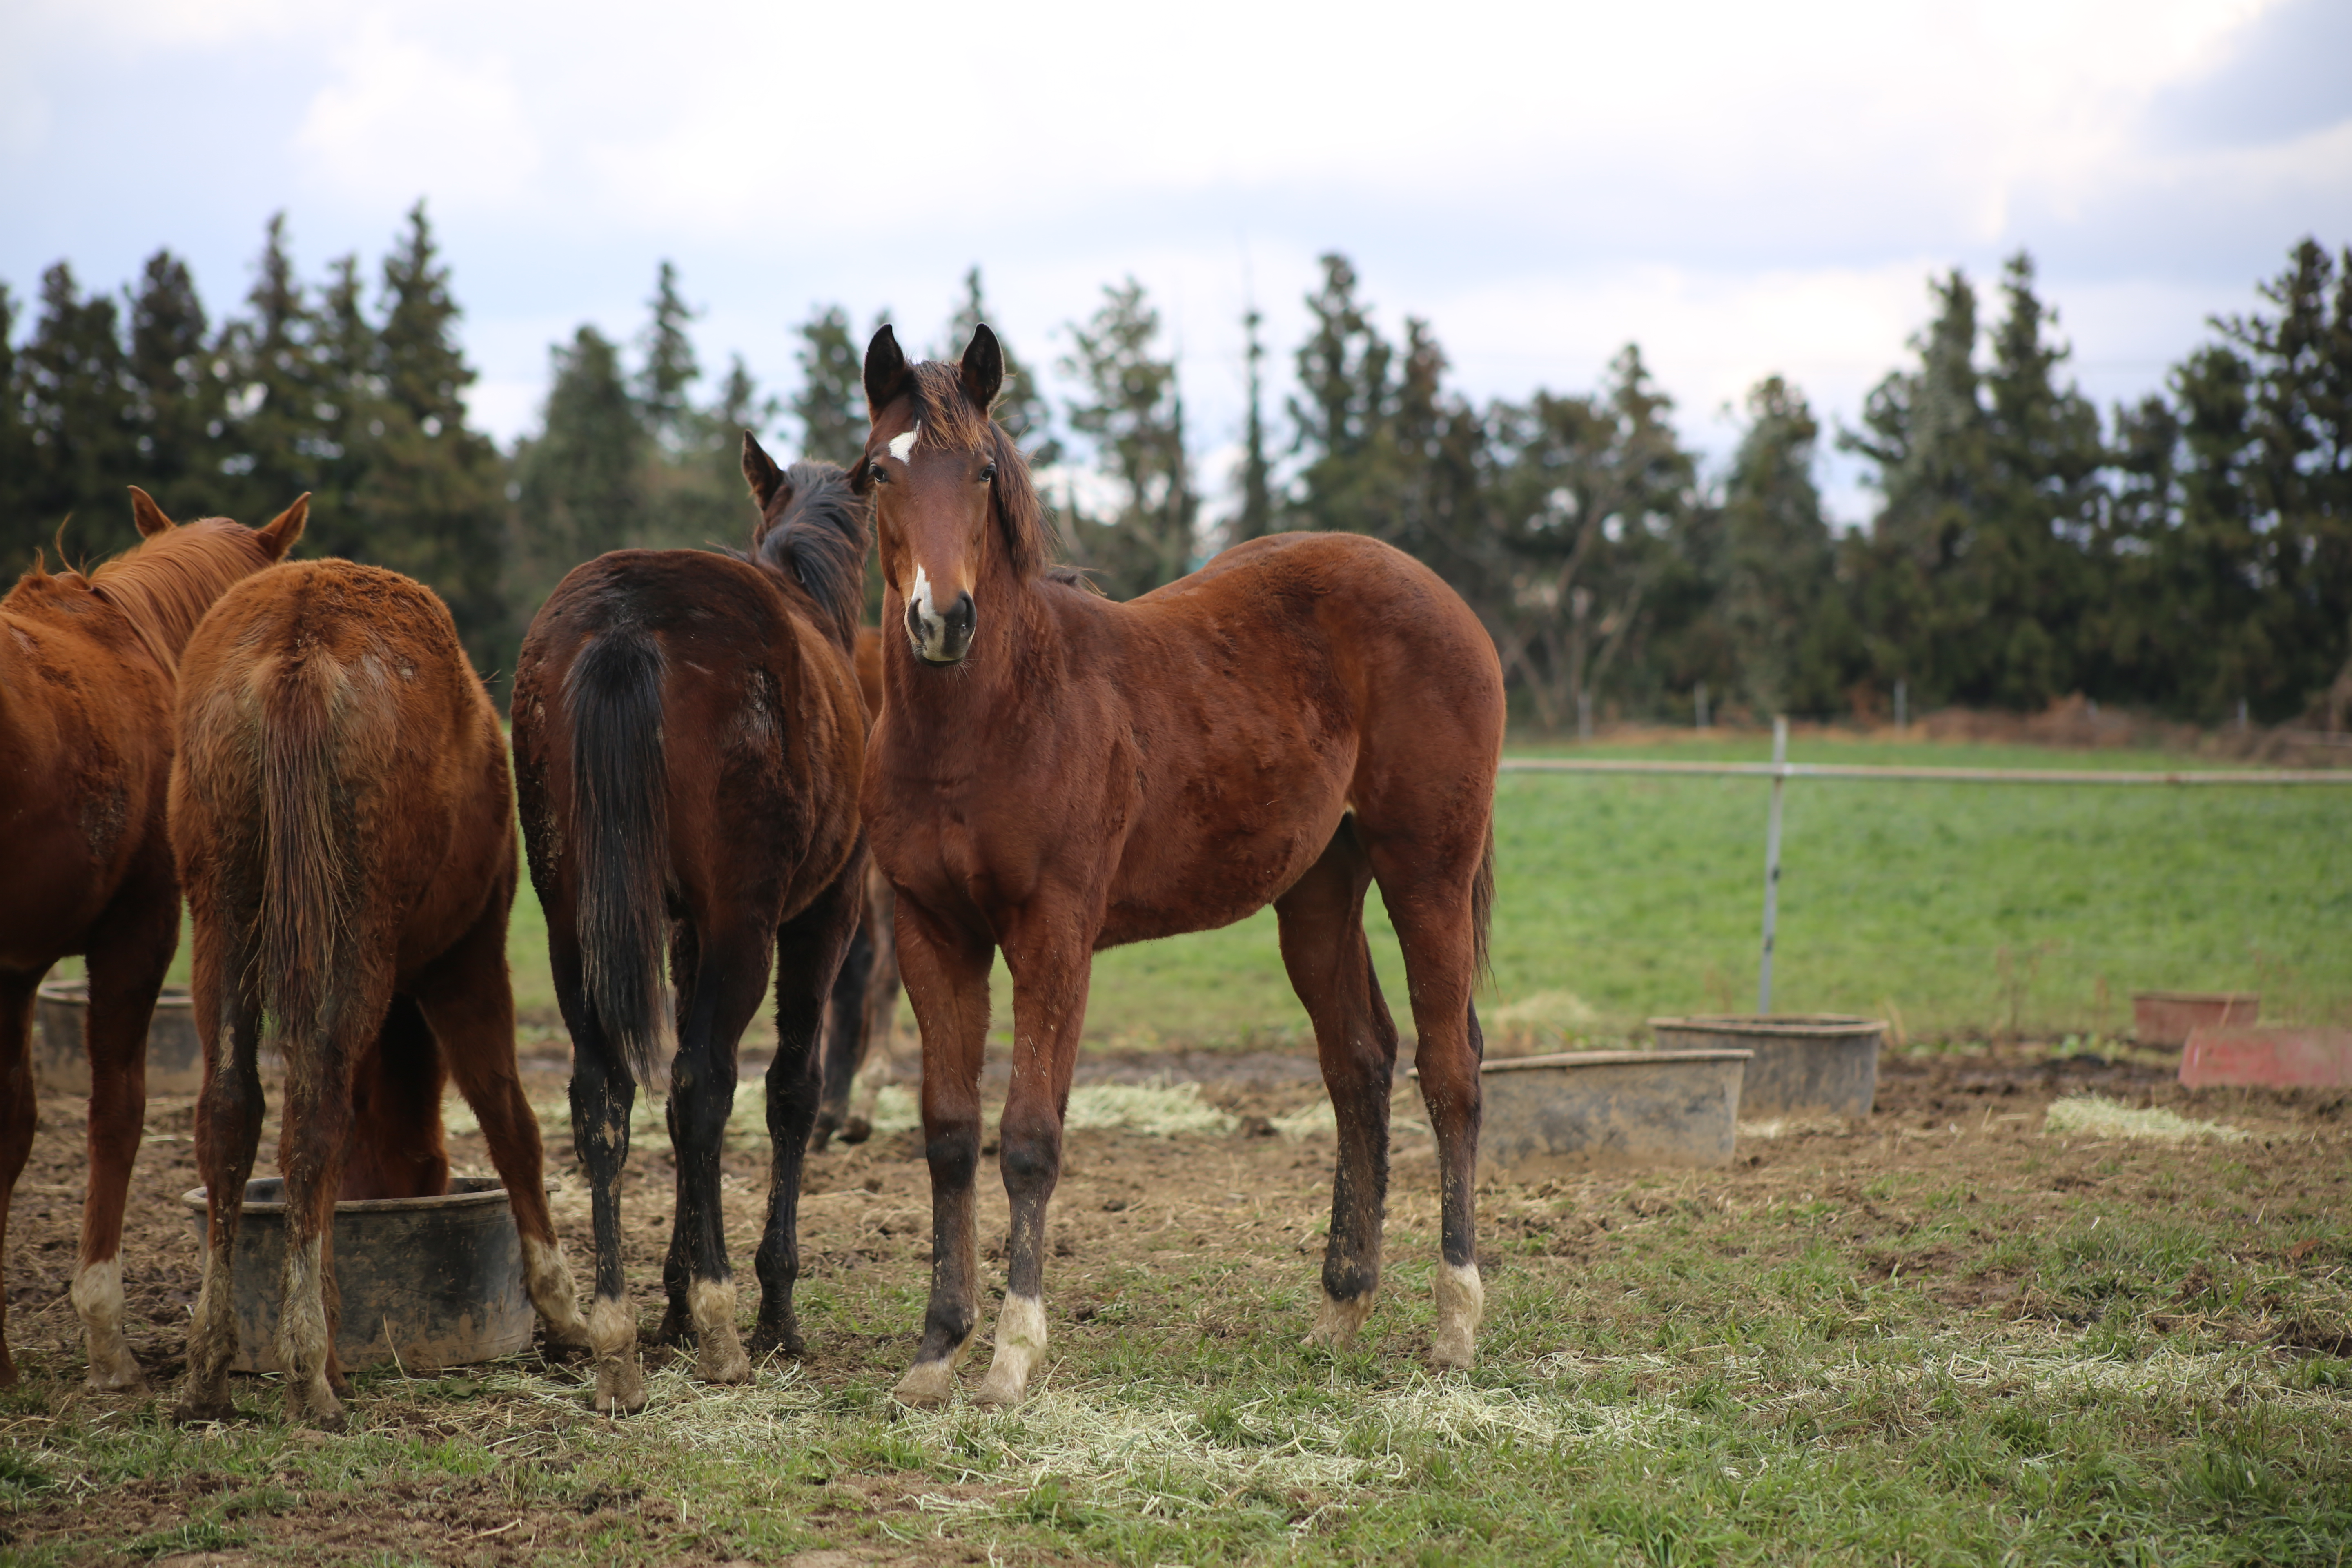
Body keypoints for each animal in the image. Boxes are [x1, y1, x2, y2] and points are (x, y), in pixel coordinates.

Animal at [174, 564, 592, 1439]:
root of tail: (299, 636)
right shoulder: (470, 960)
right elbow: (511, 1121)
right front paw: (564, 1312)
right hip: (353, 932)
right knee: (315, 1112)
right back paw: (307, 1370)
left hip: (224, 926)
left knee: (234, 1111)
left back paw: (211, 1368)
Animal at [515, 435, 875, 1420]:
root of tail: (624, 622)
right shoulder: (824, 912)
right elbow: (789, 1089)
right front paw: (766, 1308)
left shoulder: (676, 931)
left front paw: (671, 1303)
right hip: (747, 924)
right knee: (705, 1082)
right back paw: (721, 1328)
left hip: (573, 923)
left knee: (604, 1094)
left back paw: (615, 1335)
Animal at [856, 329, 1496, 1410]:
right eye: (878, 471)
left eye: (982, 470)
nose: (941, 619)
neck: (988, 720)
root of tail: (1445, 596)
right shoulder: (929, 929)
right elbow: (947, 1132)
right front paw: (936, 1349)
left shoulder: (1054, 933)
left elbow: (1029, 1137)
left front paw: (1013, 1354)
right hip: (1317, 893)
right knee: (1357, 1061)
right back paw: (1341, 1305)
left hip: (1428, 876)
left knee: (1448, 1068)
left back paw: (1454, 1322)